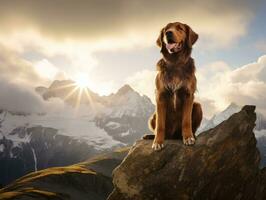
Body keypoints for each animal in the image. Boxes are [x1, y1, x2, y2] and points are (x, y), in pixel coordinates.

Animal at [144, 21, 203, 150]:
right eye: (166, 29)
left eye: (180, 28)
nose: (168, 33)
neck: (175, 63)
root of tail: (172, 136)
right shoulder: (160, 95)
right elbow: (160, 125)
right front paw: (157, 142)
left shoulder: (188, 95)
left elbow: (186, 121)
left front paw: (188, 138)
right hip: (152, 117)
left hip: (198, 106)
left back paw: (193, 135)